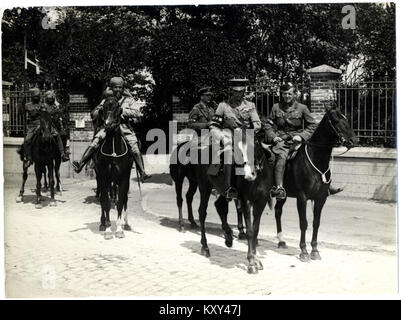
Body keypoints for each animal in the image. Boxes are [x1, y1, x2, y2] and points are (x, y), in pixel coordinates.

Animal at [94, 97, 134, 240]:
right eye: (103, 108)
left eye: (118, 108)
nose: (108, 124)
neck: (113, 150)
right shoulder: (103, 177)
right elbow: (105, 202)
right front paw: (107, 230)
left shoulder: (124, 179)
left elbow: (120, 202)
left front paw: (119, 229)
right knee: (102, 200)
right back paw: (103, 223)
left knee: (123, 200)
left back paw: (125, 224)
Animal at [194, 132, 276, 272]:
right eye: (238, 152)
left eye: (254, 146)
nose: (249, 175)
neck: (258, 178)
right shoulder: (246, 201)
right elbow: (250, 231)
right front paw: (251, 262)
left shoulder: (261, 202)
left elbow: (255, 230)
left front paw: (256, 259)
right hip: (204, 187)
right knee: (202, 213)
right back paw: (205, 247)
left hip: (223, 190)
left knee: (220, 206)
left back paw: (228, 237)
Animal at [276, 104, 356, 262]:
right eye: (335, 120)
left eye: (346, 118)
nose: (353, 141)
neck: (316, 159)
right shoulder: (302, 198)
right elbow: (304, 223)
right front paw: (304, 251)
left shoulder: (321, 198)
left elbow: (316, 223)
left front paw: (314, 250)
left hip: (283, 195)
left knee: (277, 211)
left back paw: (281, 241)